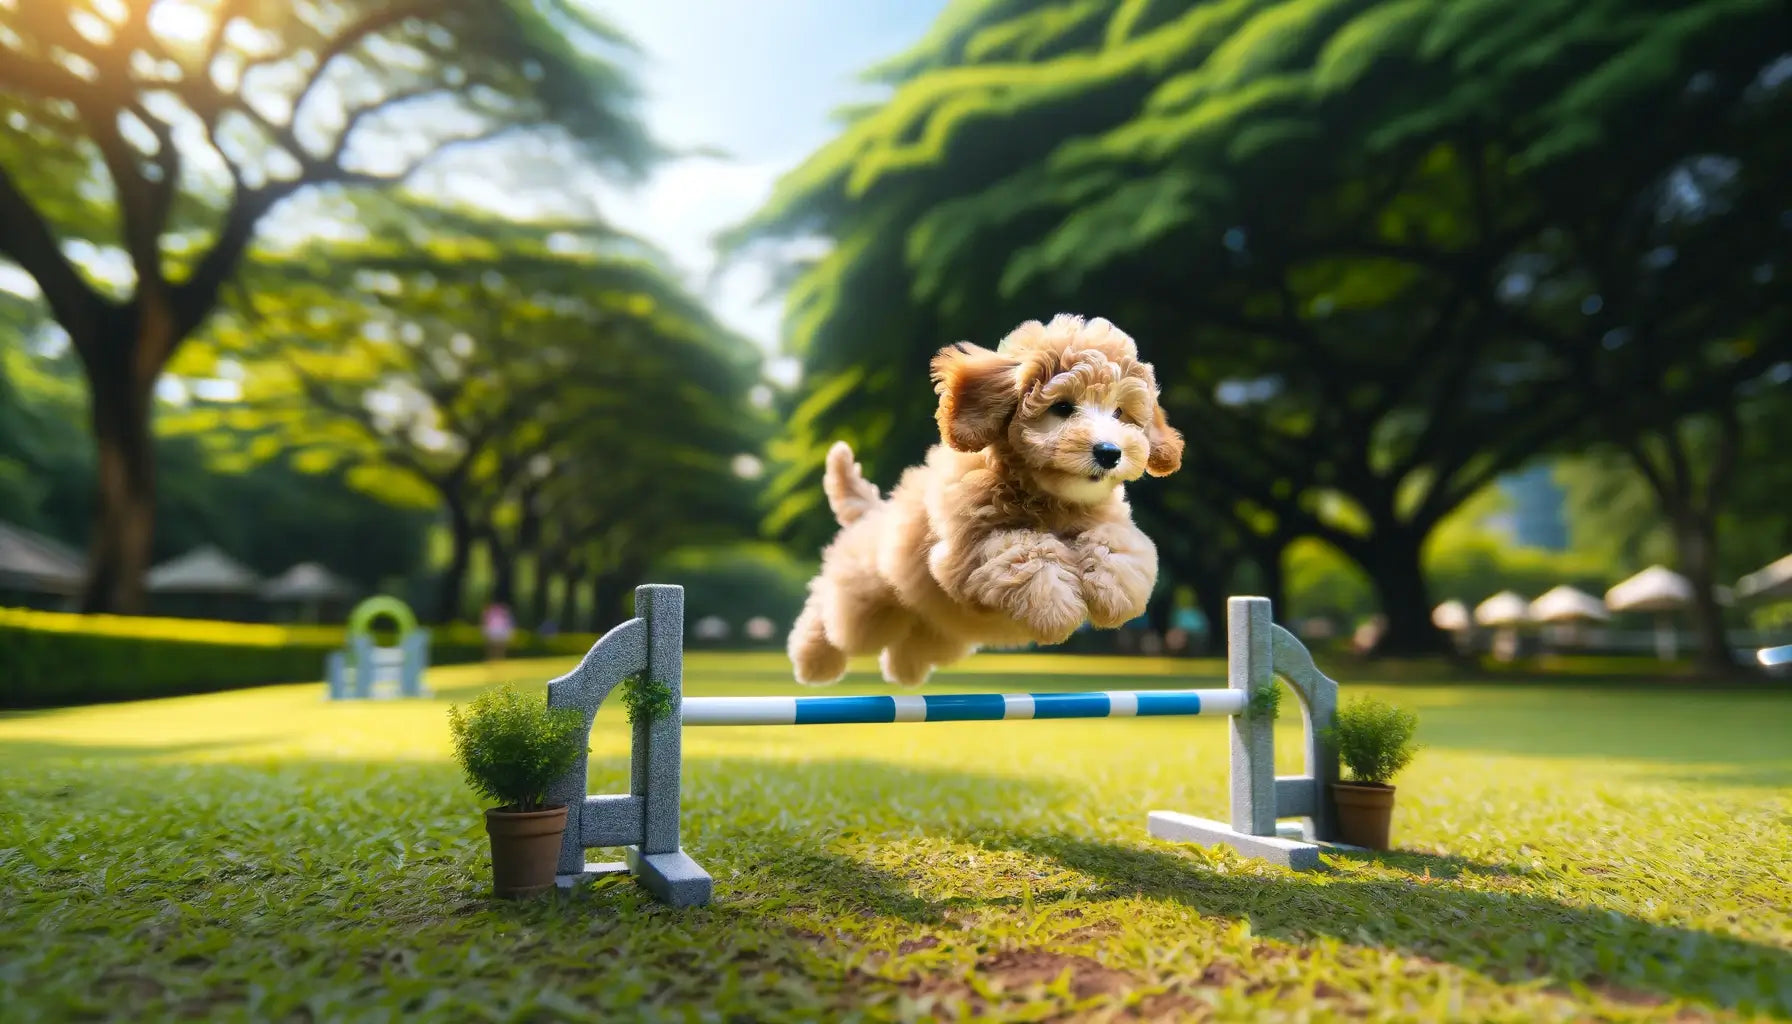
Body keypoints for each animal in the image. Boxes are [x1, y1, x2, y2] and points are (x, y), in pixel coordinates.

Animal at [788, 312, 1182, 688]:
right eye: (1062, 407)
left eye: (1119, 412)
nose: (1110, 452)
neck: (1049, 498)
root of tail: (874, 513)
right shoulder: (965, 549)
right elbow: (1025, 552)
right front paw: (1055, 607)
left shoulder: (1108, 523)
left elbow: (1117, 546)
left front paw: (1113, 594)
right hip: (867, 605)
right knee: (833, 618)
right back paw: (812, 660)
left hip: (938, 629)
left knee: (916, 642)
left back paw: (905, 669)